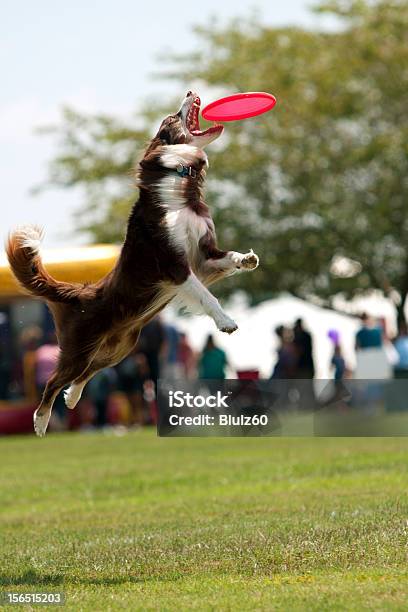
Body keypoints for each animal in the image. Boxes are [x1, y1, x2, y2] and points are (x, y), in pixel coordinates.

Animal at [6, 89, 260, 436]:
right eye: (171, 118)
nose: (189, 91)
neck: (181, 189)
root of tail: (78, 292)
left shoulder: (205, 255)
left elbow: (228, 257)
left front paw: (247, 259)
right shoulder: (175, 265)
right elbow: (208, 297)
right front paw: (226, 322)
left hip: (119, 348)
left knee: (85, 374)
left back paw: (72, 398)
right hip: (79, 347)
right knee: (54, 380)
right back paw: (41, 421)